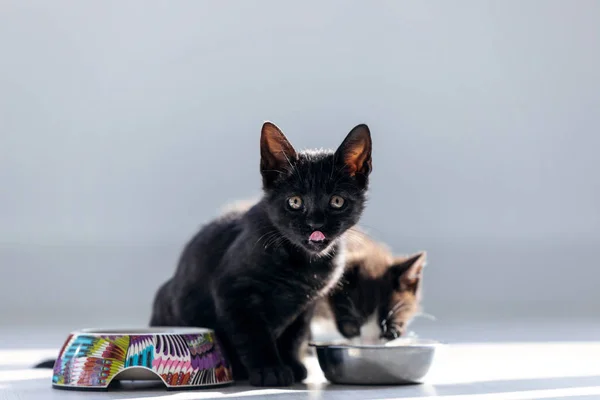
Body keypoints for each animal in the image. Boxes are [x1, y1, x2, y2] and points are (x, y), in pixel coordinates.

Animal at [150, 122, 370, 388]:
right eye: (295, 202)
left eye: (337, 201)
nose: (315, 224)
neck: (303, 265)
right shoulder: (234, 292)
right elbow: (253, 334)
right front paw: (270, 370)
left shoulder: (306, 304)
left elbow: (294, 336)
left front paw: (291, 365)